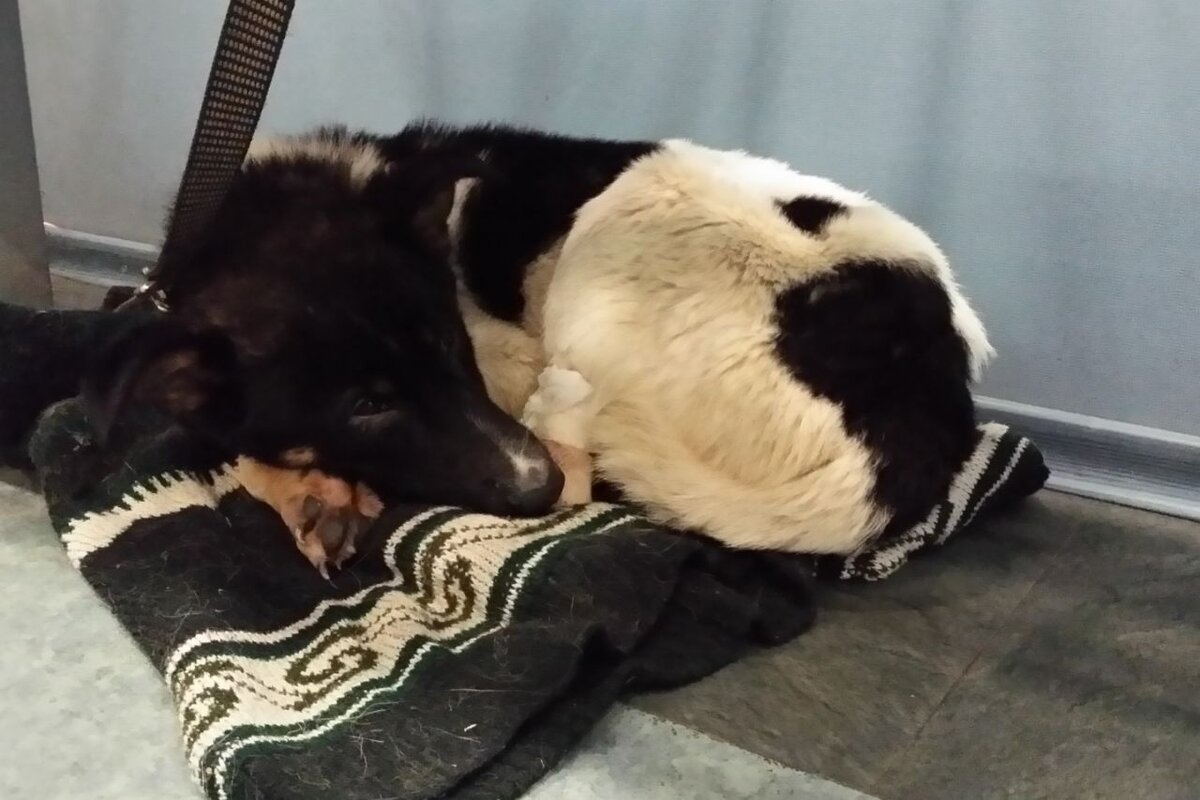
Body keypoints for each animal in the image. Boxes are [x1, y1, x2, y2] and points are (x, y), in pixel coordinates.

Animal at [86, 122, 993, 568]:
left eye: (450, 347)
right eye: (367, 404)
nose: (534, 482)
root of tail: (917, 417)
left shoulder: (505, 370)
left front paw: (312, 488)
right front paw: (312, 487)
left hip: (615, 232)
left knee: (585, 468)